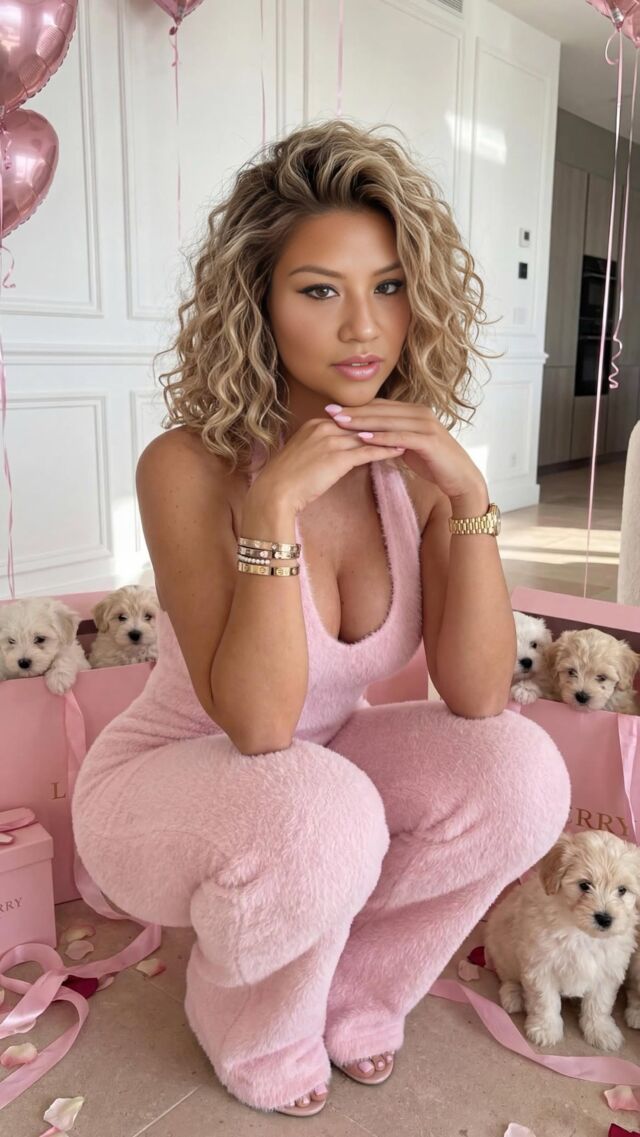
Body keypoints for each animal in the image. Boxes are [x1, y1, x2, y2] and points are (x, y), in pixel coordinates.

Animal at [485, 830, 640, 1051]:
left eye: (622, 890)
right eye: (584, 885)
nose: (604, 918)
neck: (581, 932)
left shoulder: (607, 970)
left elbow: (599, 1004)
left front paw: (601, 1031)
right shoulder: (541, 966)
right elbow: (545, 1002)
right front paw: (545, 1030)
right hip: (503, 947)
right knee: (508, 978)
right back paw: (513, 996)